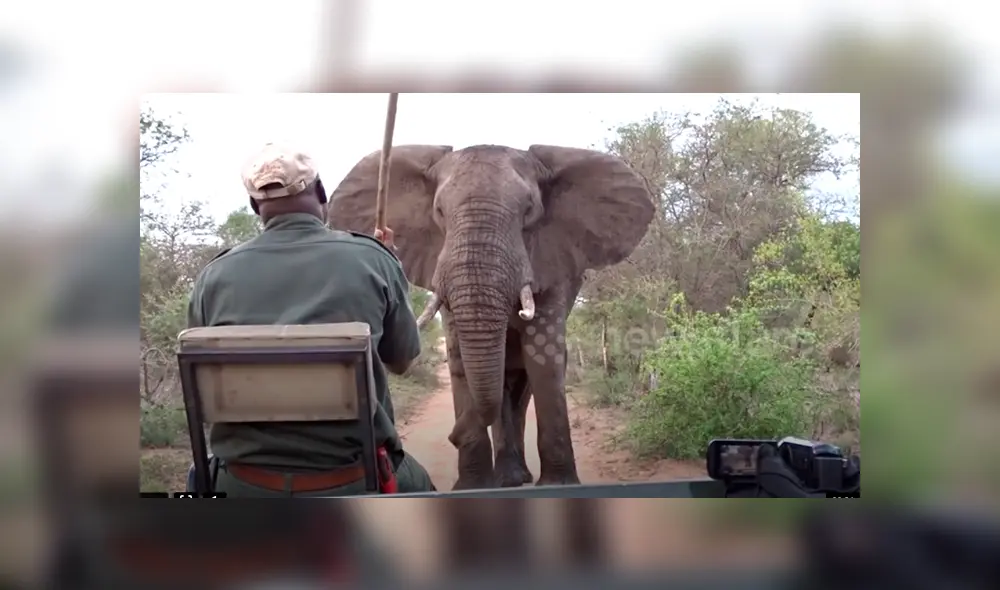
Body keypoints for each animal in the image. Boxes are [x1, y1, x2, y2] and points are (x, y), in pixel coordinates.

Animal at [328, 144, 653, 489]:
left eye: (529, 210)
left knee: (520, 388)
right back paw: (508, 479)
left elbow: (543, 360)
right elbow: (459, 357)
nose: (454, 436)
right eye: (439, 212)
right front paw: (473, 487)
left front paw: (558, 487)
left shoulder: (554, 263)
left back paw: (515, 477)